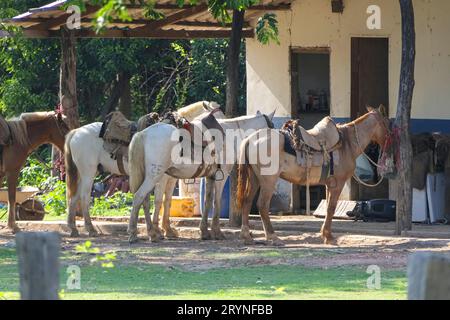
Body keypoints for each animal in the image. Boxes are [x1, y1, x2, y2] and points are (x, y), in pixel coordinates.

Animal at [63, 101, 220, 236]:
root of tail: (76, 132)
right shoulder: (162, 177)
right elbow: (158, 200)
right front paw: (158, 230)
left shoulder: (170, 178)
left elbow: (167, 200)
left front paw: (166, 230)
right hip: (88, 173)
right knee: (84, 196)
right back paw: (90, 229)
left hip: (88, 172)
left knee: (74, 196)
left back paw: (73, 228)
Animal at [125, 110, 274, 242]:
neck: (232, 134)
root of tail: (143, 134)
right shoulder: (221, 176)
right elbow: (217, 202)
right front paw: (217, 232)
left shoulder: (210, 176)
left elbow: (207, 201)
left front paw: (204, 232)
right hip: (155, 176)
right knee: (139, 197)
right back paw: (135, 233)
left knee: (146, 200)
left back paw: (153, 232)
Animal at [236, 107, 390, 245]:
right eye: (386, 123)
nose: (389, 144)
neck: (346, 143)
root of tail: (250, 139)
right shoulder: (338, 183)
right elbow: (331, 208)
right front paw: (329, 237)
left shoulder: (329, 184)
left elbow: (328, 207)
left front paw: (325, 234)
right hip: (268, 181)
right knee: (262, 205)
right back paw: (273, 237)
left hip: (255, 179)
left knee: (247, 201)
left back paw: (247, 236)